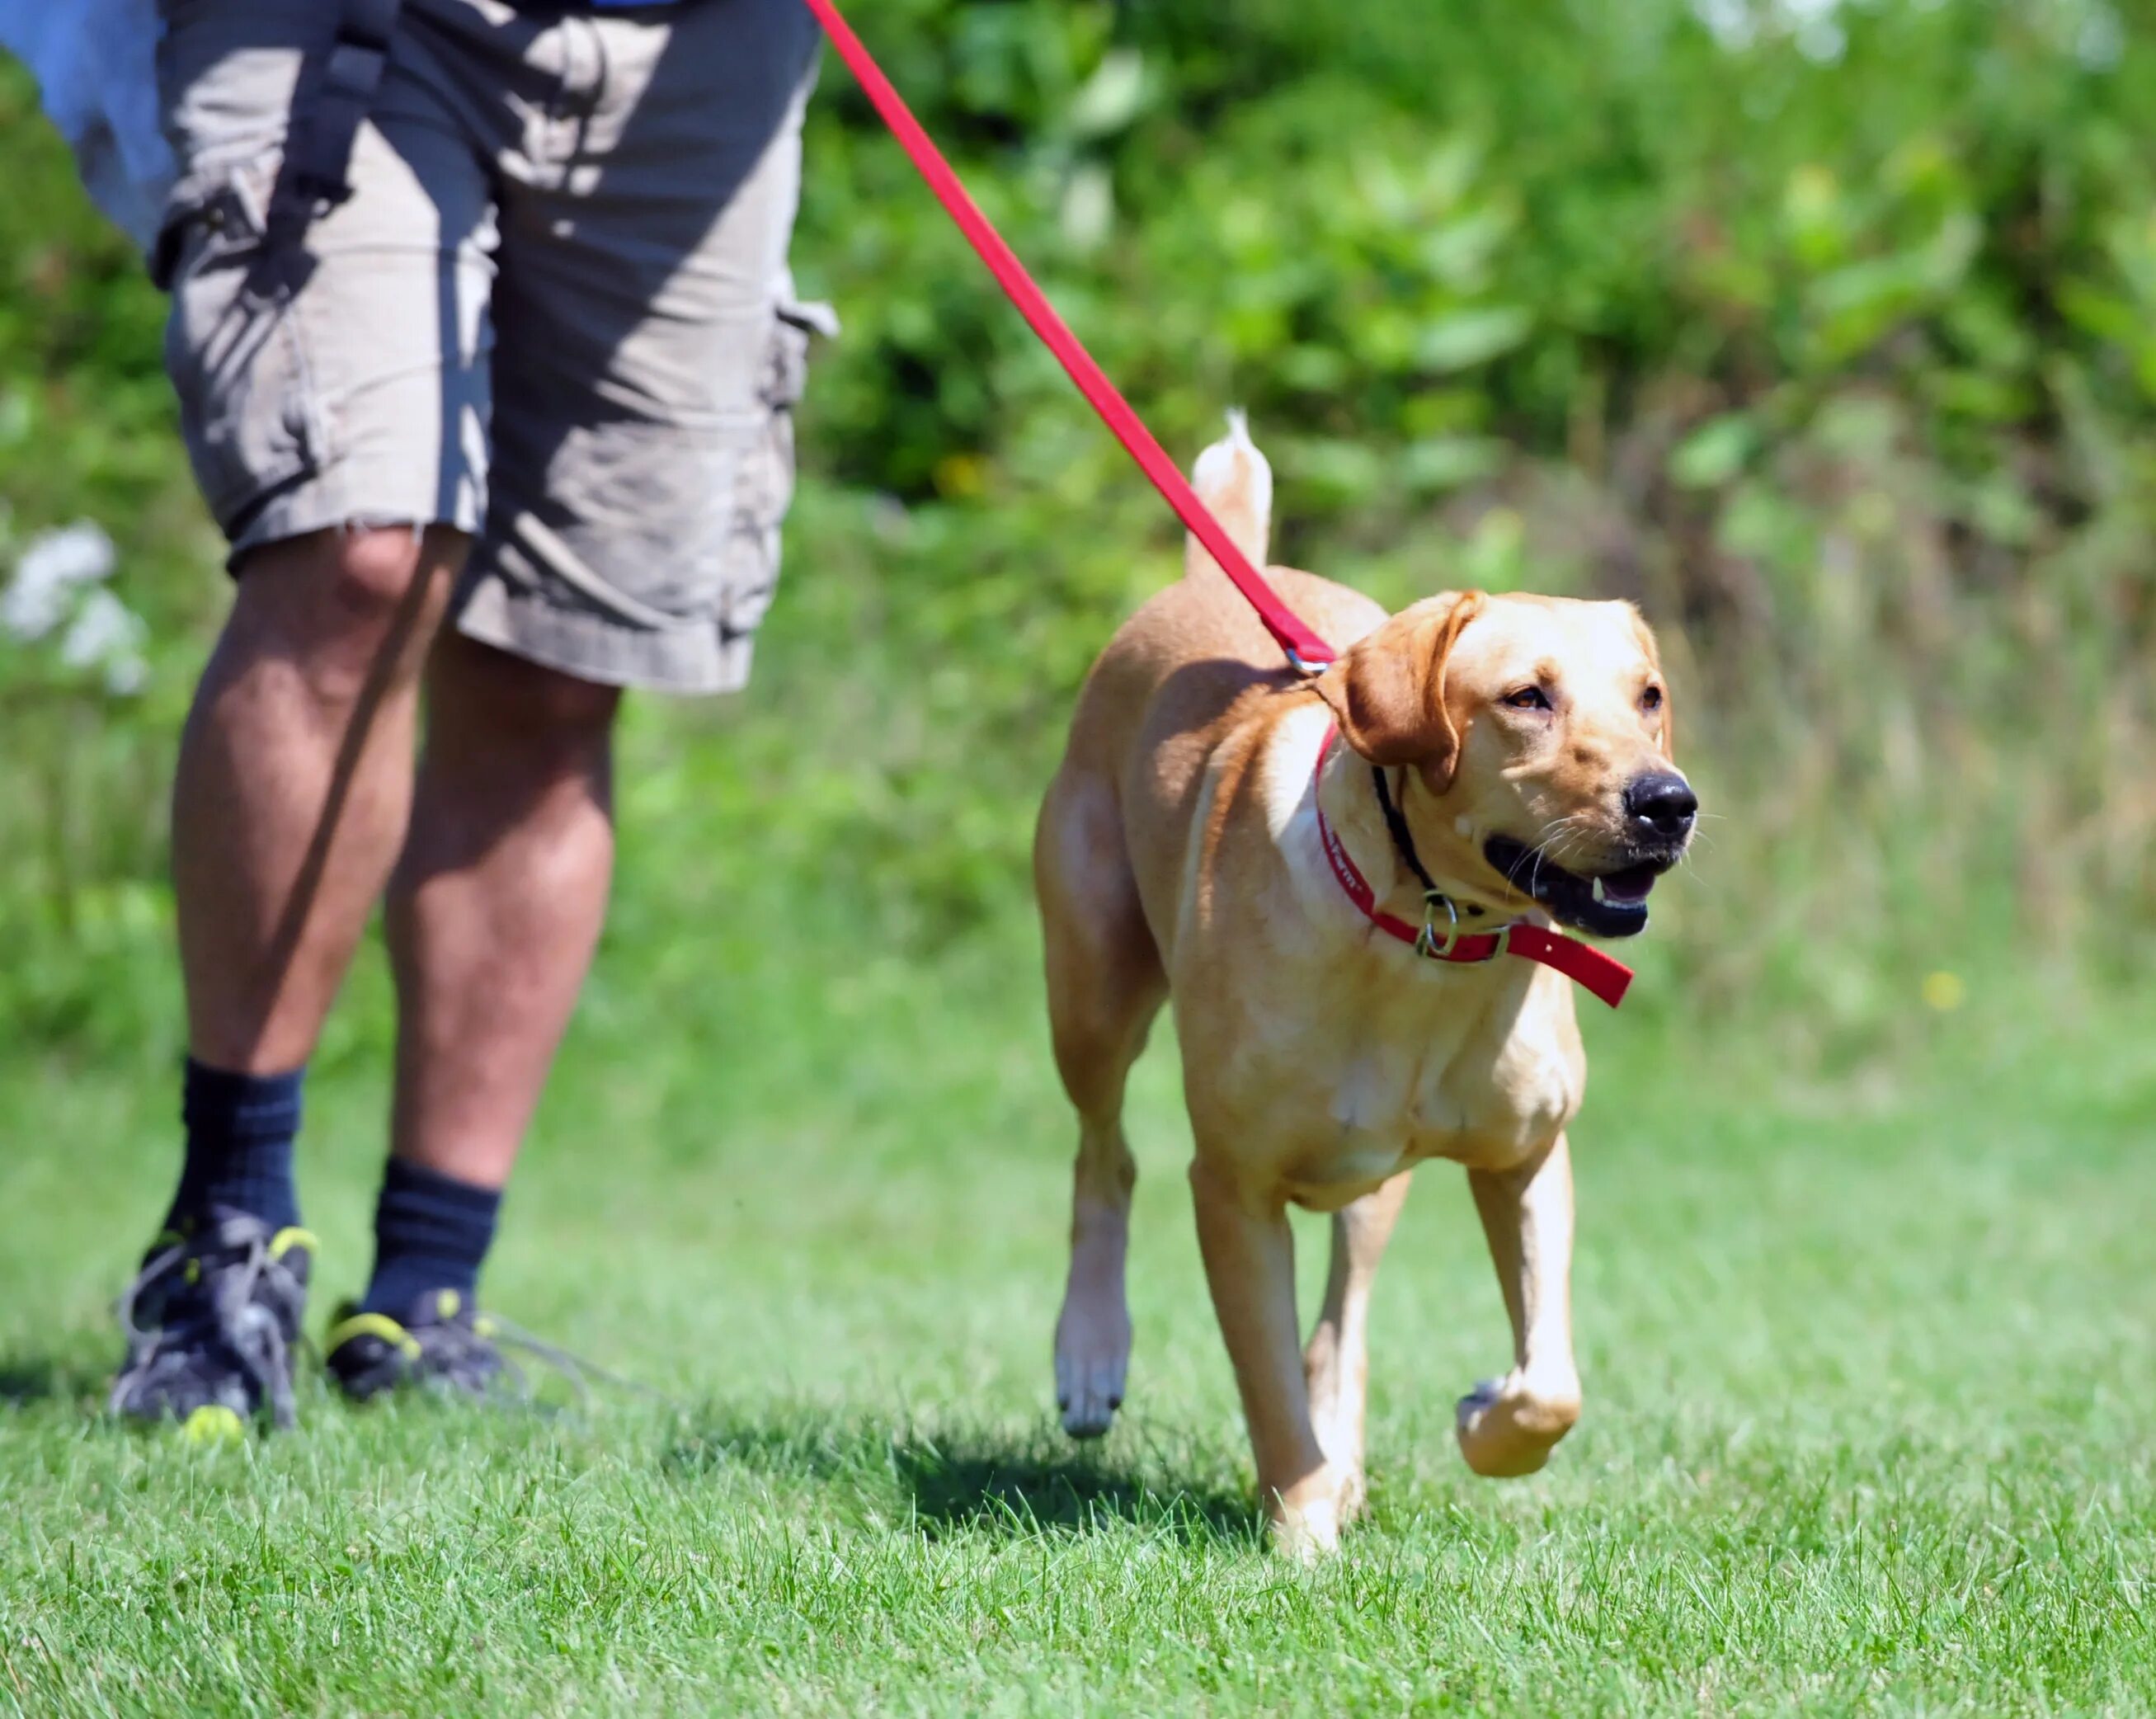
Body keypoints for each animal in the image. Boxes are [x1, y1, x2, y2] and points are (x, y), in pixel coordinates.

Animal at [1034, 418, 1690, 1552]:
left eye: (1647, 696)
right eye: (1526, 696)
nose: (1668, 802)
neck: (1425, 937)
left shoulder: (1526, 1151)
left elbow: (1549, 1383)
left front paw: (1483, 1419)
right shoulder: (1232, 1186)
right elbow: (1264, 1388)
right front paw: (1302, 1536)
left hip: (1372, 1176)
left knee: (1342, 1315)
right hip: (1090, 985)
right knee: (1103, 1154)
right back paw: (1090, 1353)